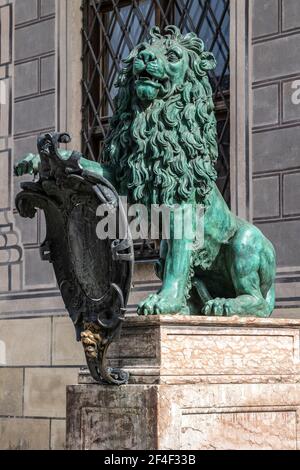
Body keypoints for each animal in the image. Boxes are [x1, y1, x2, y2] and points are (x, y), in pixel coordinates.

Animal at [15, 25, 276, 316]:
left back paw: (224, 304)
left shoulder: (181, 208)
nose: (147, 57)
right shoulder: (126, 175)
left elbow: (178, 262)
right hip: (163, 252)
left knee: (255, 298)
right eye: (142, 50)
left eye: (173, 55)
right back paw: (190, 308)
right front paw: (40, 160)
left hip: (246, 242)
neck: (155, 121)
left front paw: (164, 301)